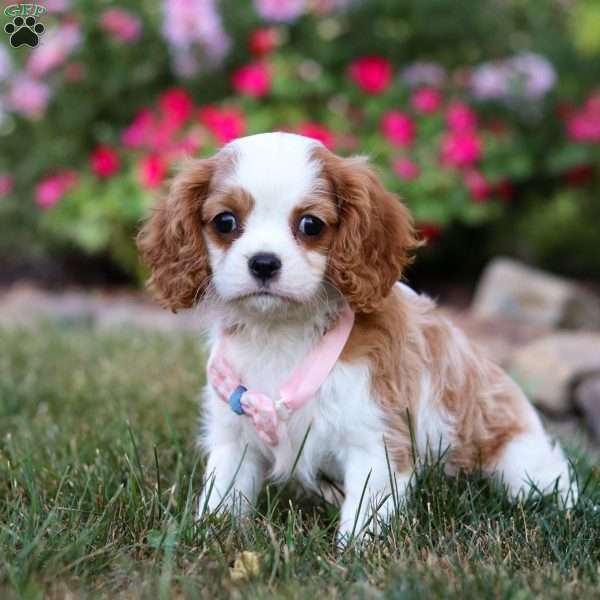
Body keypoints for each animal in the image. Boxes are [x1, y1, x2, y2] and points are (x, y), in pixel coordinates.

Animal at [137, 131, 576, 544]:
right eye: (225, 222)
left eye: (310, 225)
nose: (264, 262)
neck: (281, 331)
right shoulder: (233, 434)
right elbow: (223, 494)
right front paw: (209, 535)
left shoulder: (376, 441)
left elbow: (365, 512)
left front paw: (354, 554)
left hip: (518, 458)